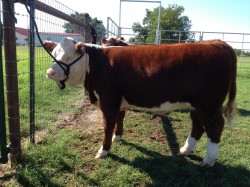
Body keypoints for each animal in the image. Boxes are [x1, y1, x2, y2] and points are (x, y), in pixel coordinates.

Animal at [44, 37, 237, 167]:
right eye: (53, 55)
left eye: (68, 57)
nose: (49, 73)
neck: (95, 64)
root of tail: (216, 42)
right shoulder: (119, 101)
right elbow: (119, 119)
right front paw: (117, 137)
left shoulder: (108, 99)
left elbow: (107, 125)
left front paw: (103, 150)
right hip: (196, 105)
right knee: (197, 126)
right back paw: (185, 150)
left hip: (209, 104)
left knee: (214, 126)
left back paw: (208, 160)